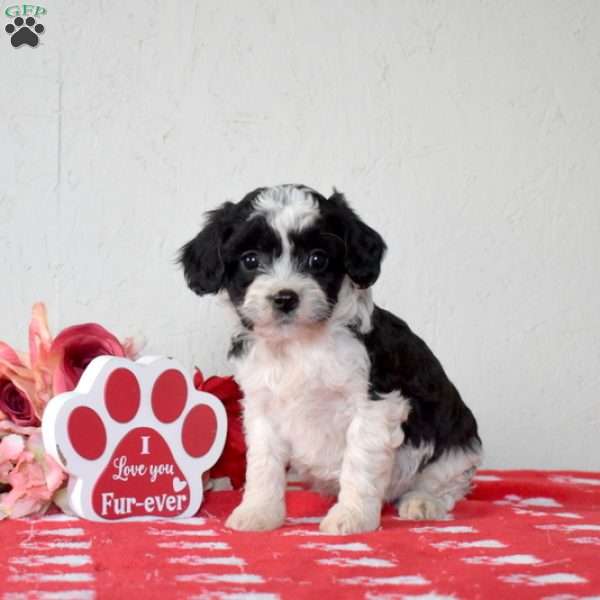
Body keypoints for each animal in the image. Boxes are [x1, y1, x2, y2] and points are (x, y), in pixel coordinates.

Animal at [179, 184, 482, 536]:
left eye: (317, 259)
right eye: (250, 259)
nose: (285, 297)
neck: (298, 344)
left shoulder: (373, 406)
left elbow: (359, 463)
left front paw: (351, 516)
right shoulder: (261, 409)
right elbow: (263, 465)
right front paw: (258, 512)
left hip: (455, 447)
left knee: (446, 484)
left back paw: (422, 502)